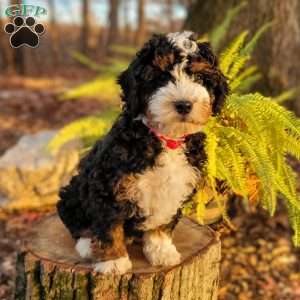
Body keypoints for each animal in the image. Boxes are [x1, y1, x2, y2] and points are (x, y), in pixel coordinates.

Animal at [57, 31, 229, 274]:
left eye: (199, 77)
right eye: (160, 78)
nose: (184, 104)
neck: (166, 138)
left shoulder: (174, 189)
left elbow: (162, 224)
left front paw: (162, 252)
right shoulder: (107, 185)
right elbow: (109, 224)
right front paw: (113, 261)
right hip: (73, 191)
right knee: (74, 220)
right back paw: (87, 245)